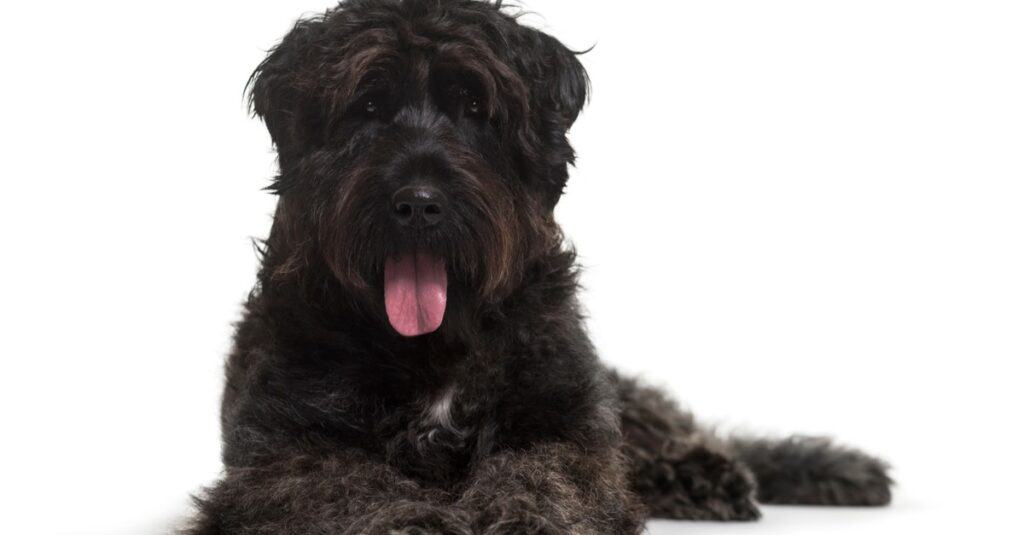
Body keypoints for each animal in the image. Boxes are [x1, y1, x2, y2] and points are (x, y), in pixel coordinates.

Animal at [188, 2, 892, 528]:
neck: (436, 348)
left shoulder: (564, 426)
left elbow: (545, 477)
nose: (419, 203)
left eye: (475, 106)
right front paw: (416, 520)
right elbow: (349, 488)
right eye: (365, 106)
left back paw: (714, 471)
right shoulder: (285, 452)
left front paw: (524, 518)